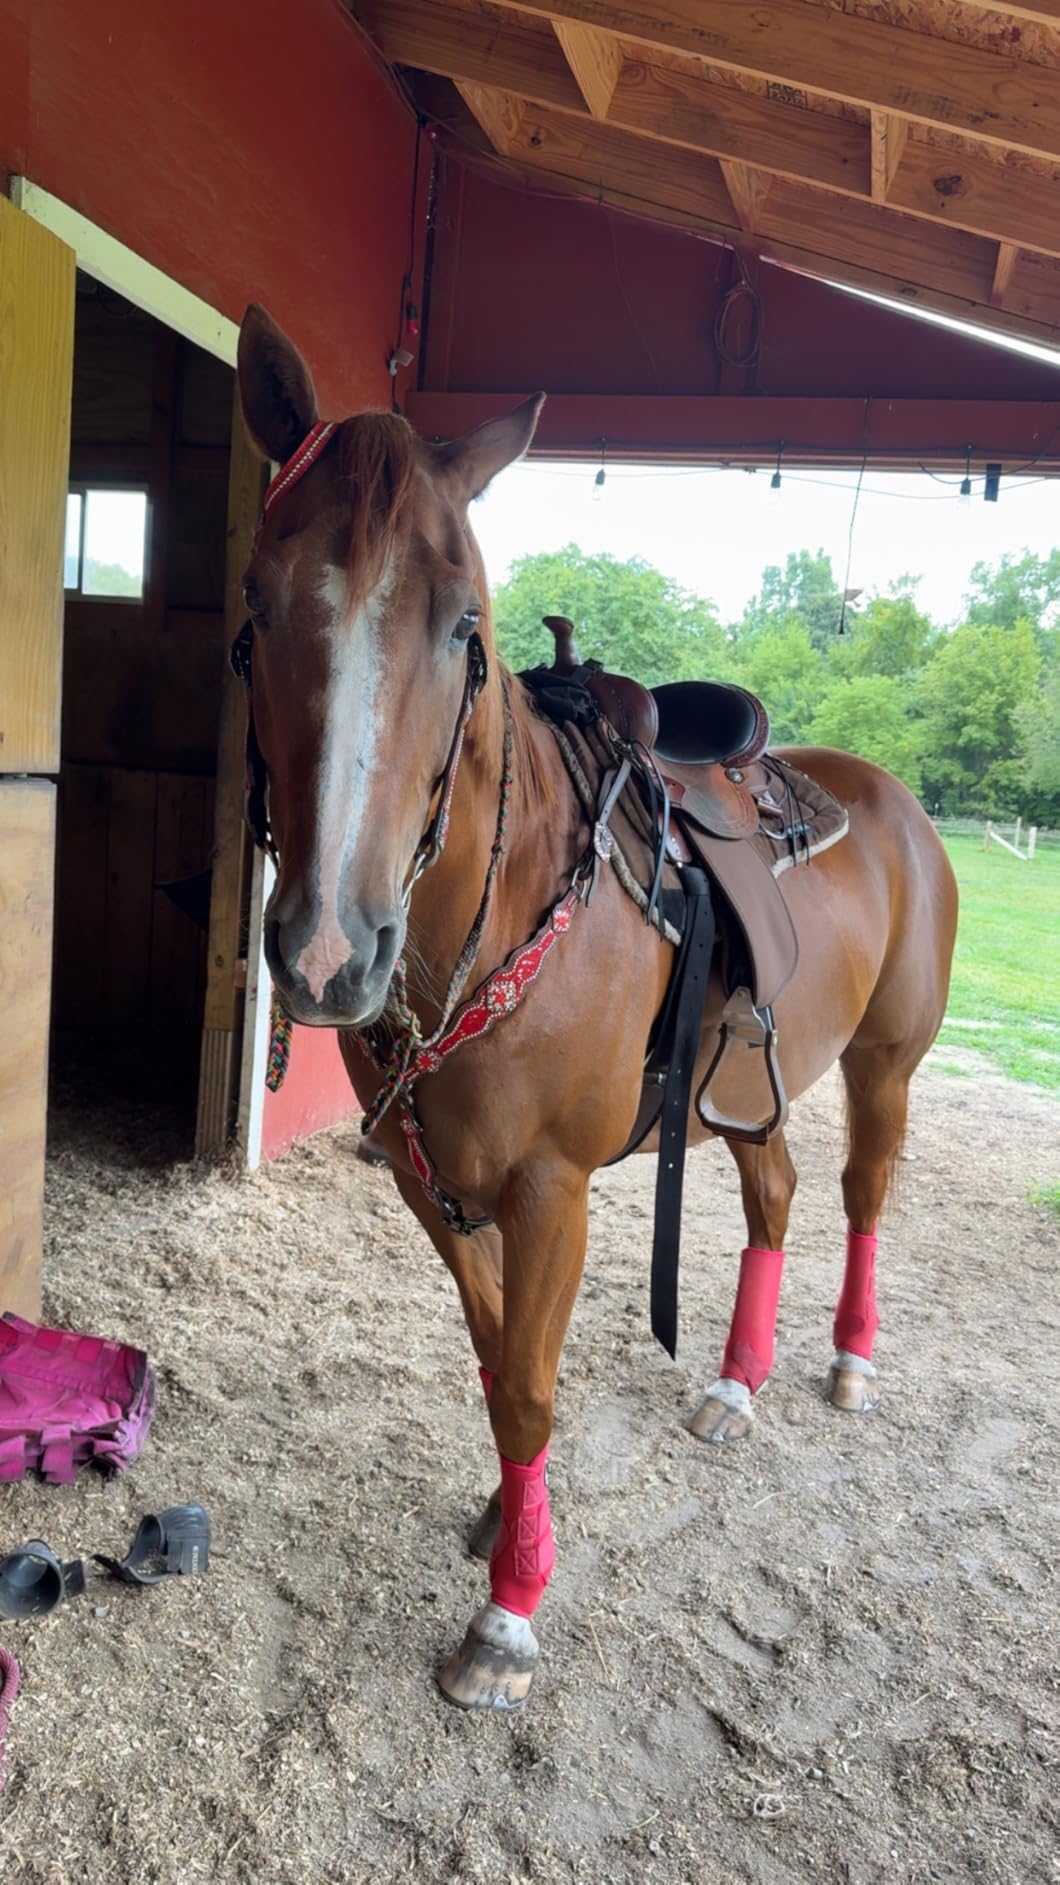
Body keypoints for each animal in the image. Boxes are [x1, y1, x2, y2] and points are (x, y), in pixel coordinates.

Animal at [234, 304, 958, 1712]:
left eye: (464, 625)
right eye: (258, 601)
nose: (330, 952)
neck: (496, 915)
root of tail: (892, 798)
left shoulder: (549, 1188)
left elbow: (526, 1384)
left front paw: (507, 1615)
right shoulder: (433, 1182)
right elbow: (495, 1355)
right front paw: (509, 1523)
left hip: (886, 1063)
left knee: (860, 1193)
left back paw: (847, 1359)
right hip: (739, 1088)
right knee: (777, 1192)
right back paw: (733, 1384)